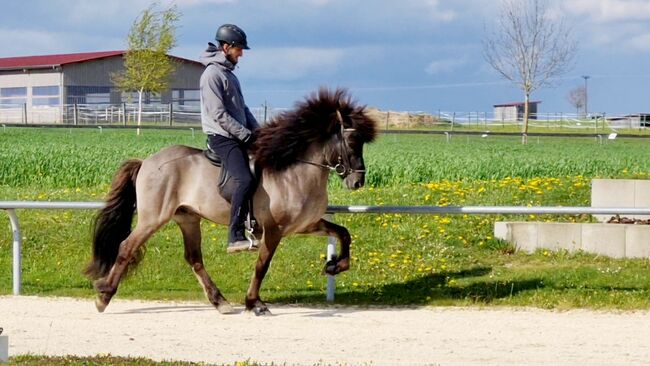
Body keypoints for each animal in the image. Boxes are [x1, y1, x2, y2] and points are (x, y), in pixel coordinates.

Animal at [83, 88, 378, 314]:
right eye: (352, 140)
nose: (357, 182)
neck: (294, 171)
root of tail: (146, 161)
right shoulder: (274, 230)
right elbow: (262, 266)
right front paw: (254, 303)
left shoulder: (307, 225)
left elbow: (344, 233)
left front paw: (335, 265)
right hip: (153, 218)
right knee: (126, 247)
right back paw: (103, 296)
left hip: (187, 218)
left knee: (194, 258)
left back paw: (220, 302)